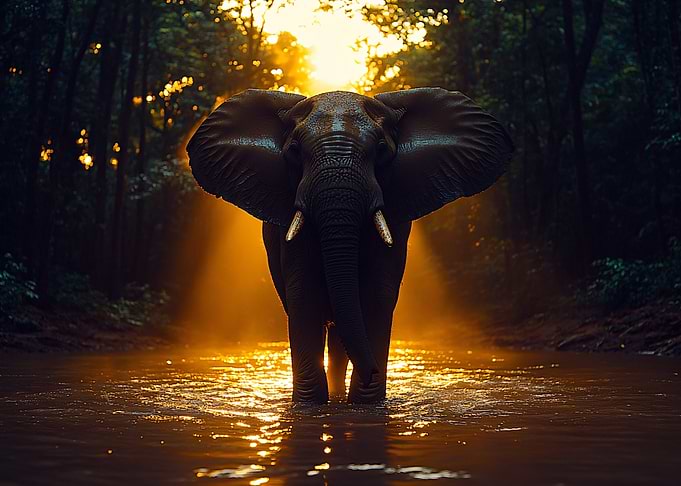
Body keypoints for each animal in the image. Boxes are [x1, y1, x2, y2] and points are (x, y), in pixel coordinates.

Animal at [186, 87, 513, 404]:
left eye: (381, 150)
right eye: (294, 152)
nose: (372, 372)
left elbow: (376, 295)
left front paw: (366, 404)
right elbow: (304, 295)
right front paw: (309, 406)